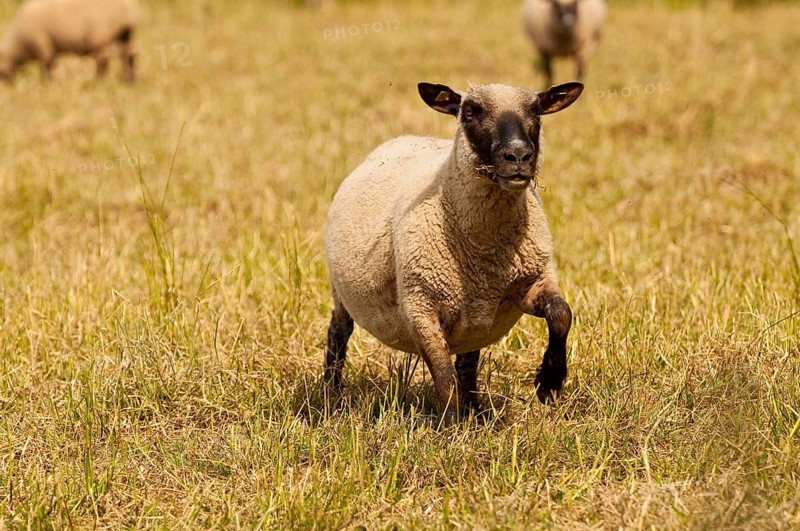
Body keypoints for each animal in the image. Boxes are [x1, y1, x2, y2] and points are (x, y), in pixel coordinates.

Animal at [0, 0, 138, 83]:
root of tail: (128, 10)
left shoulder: (43, 47)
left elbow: (47, 69)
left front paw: (48, 84)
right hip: (124, 34)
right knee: (129, 54)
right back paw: (129, 80)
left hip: (101, 35)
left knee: (103, 58)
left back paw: (98, 81)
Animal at [324, 80, 584, 420]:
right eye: (470, 112)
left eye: (537, 111)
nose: (518, 155)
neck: (485, 253)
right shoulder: (420, 308)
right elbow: (443, 375)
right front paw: (449, 425)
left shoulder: (532, 282)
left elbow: (561, 315)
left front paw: (550, 381)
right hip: (341, 293)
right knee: (338, 332)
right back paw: (329, 395)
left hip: (476, 319)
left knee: (468, 361)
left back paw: (477, 411)